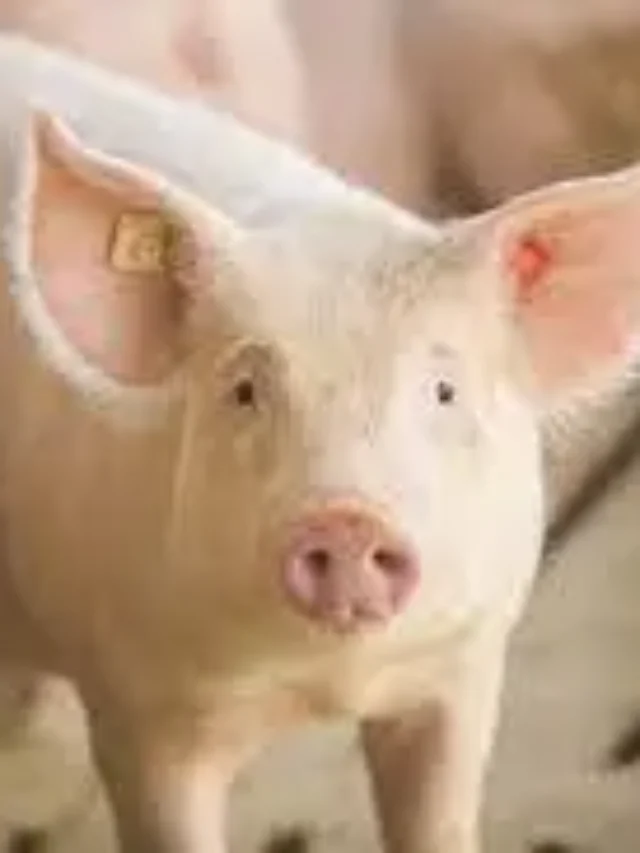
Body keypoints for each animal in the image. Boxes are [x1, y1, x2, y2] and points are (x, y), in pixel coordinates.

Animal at [1, 33, 640, 853]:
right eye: (245, 390)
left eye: (443, 390)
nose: (347, 519)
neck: (323, 685)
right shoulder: (139, 707)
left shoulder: (463, 664)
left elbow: (438, 814)